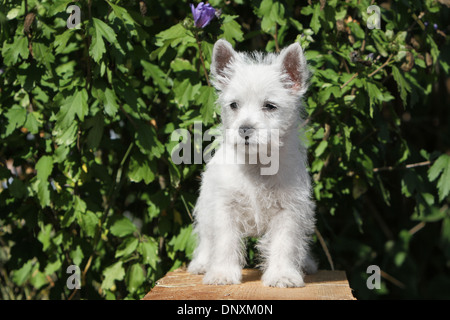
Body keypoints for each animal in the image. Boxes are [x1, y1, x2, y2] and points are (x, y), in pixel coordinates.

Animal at [188, 39, 318, 288]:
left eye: (270, 106)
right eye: (234, 105)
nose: (245, 129)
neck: (257, 164)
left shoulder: (289, 210)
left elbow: (285, 244)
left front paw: (282, 275)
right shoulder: (224, 208)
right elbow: (224, 242)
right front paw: (222, 273)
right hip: (206, 208)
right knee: (206, 239)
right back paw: (201, 263)